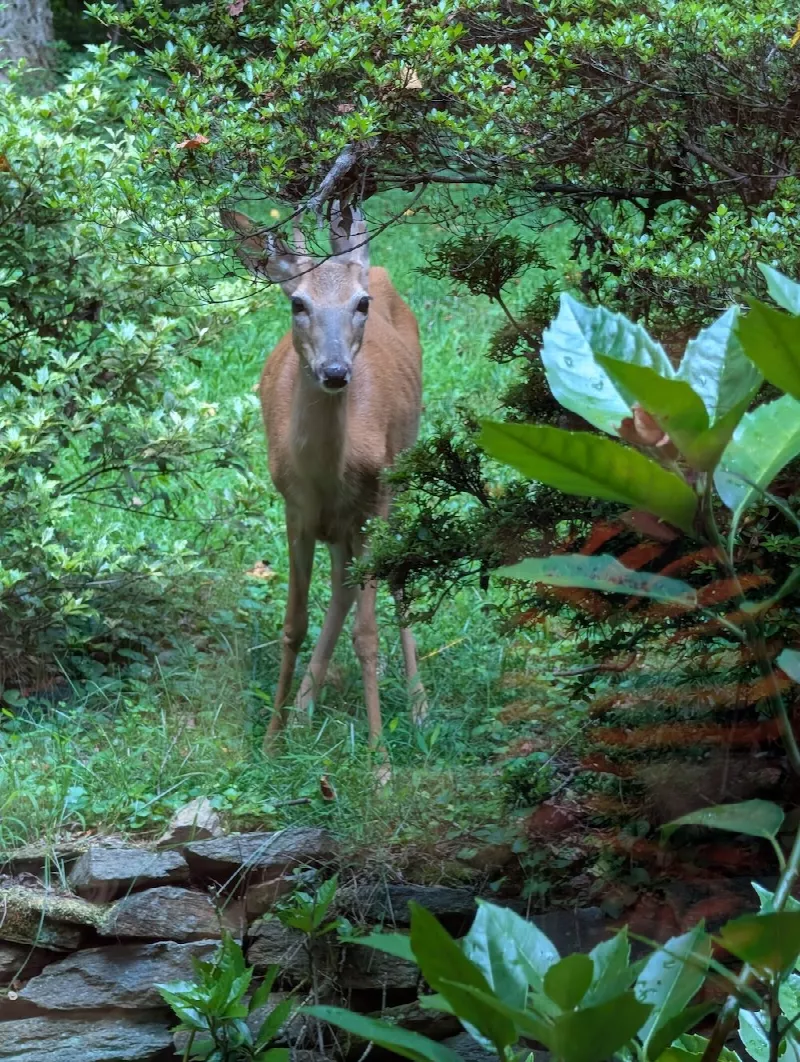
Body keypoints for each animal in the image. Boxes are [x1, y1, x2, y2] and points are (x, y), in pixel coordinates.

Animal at [221, 202, 428, 757]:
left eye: (361, 304)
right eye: (298, 302)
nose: (334, 371)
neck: (327, 473)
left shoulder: (375, 498)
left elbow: (368, 634)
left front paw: (379, 759)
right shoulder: (294, 508)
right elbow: (293, 624)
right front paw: (271, 741)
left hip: (402, 469)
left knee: (393, 577)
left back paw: (419, 706)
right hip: (338, 523)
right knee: (342, 581)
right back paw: (302, 711)